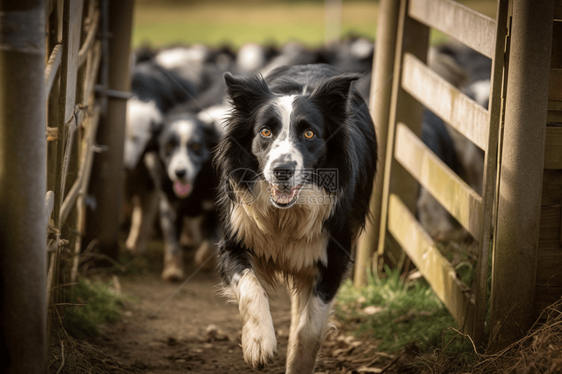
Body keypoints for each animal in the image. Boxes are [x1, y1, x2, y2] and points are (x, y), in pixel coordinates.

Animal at [214, 63, 376, 372]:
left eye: (309, 134)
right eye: (265, 132)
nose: (282, 171)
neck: (286, 215)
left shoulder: (334, 257)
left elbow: (308, 330)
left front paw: (296, 360)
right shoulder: (234, 240)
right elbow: (251, 288)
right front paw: (258, 343)